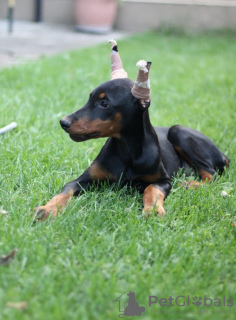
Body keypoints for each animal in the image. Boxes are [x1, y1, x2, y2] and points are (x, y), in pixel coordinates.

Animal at [33, 43, 229, 221]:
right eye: (89, 98)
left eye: (104, 103)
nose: (63, 122)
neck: (126, 149)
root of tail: (224, 155)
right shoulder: (85, 179)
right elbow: (65, 190)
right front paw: (47, 209)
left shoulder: (164, 180)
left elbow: (151, 188)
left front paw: (153, 210)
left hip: (178, 131)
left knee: (211, 175)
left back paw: (190, 183)